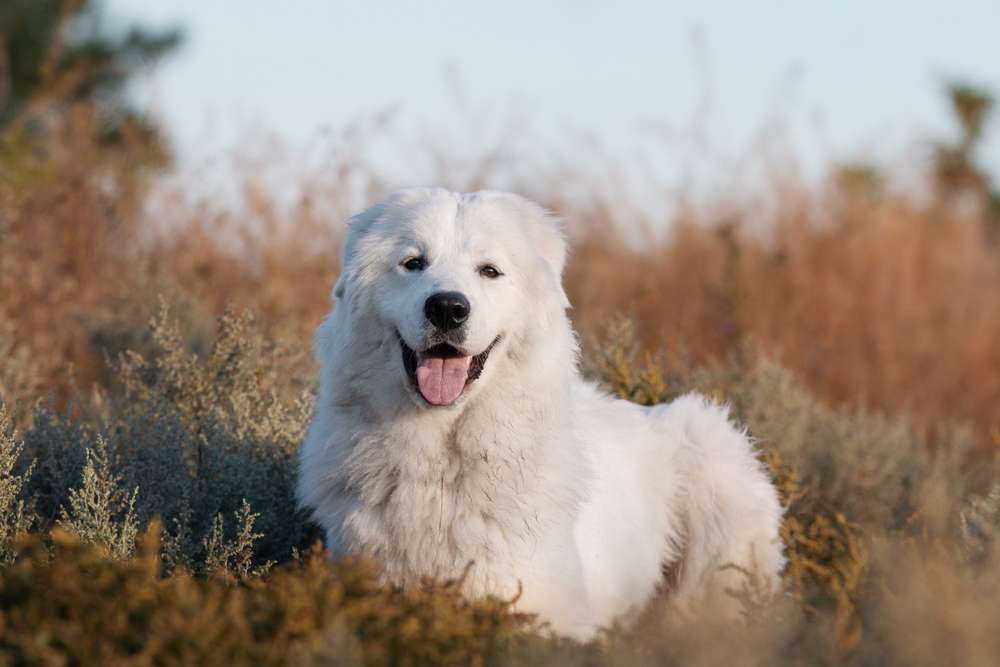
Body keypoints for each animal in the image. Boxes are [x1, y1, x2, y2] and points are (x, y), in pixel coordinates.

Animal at [294, 189, 780, 640]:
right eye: (413, 263)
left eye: (489, 270)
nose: (447, 308)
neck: (442, 461)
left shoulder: (545, 613)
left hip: (713, 464)